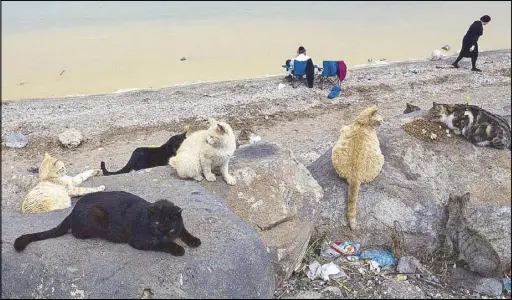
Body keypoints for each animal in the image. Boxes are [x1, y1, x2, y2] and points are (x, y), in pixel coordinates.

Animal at [13, 191, 201, 256]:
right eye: (156, 223)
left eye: (170, 227)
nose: (163, 234)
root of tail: (73, 210)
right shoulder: (141, 241)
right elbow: (163, 245)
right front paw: (178, 249)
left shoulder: (180, 225)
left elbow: (184, 231)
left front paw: (194, 241)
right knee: (77, 233)